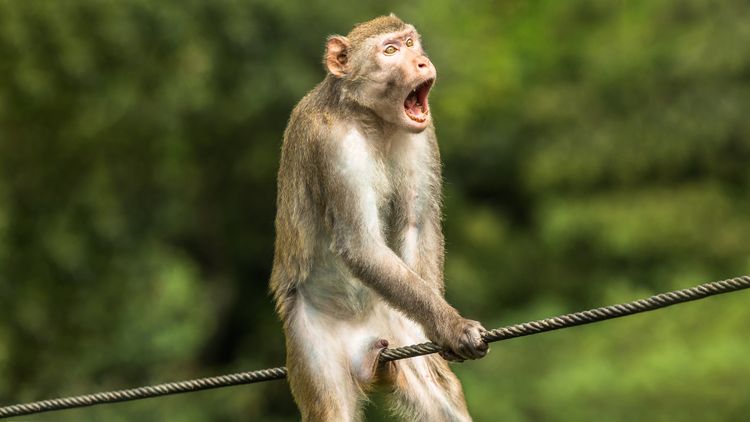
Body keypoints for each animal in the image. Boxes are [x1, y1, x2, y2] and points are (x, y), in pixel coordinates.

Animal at [270, 14, 488, 421]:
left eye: (410, 43)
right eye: (389, 51)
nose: (421, 62)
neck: (370, 119)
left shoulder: (423, 136)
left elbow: (418, 226)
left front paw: (439, 329)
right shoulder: (332, 145)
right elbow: (360, 244)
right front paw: (453, 325)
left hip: (395, 327)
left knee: (439, 399)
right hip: (311, 341)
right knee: (331, 408)